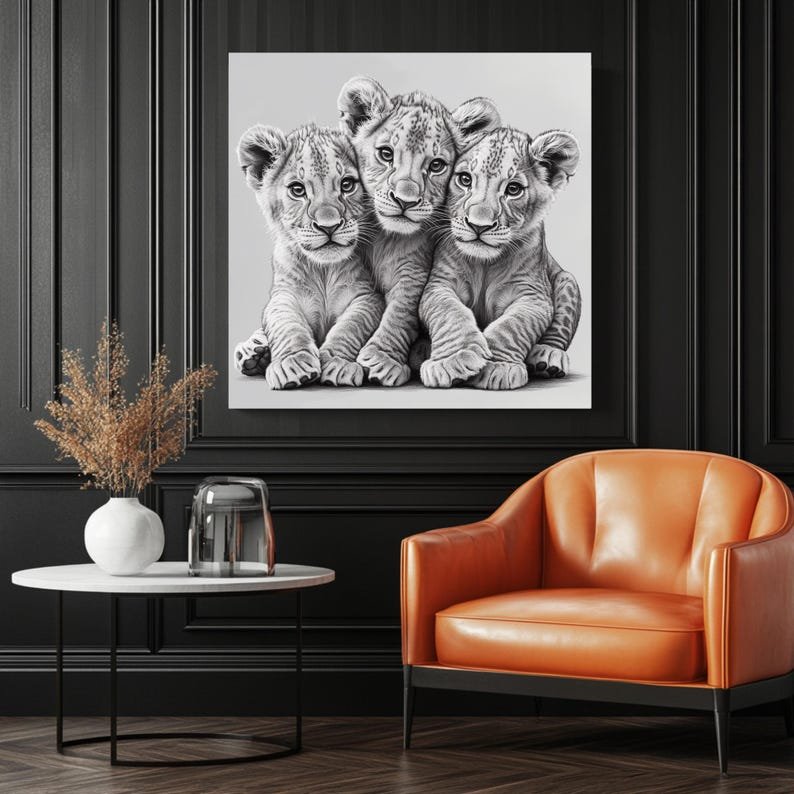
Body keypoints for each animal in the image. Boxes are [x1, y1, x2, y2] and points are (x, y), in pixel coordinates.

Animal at [233, 123, 384, 390]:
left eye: (347, 184)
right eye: (297, 189)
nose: (328, 226)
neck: (323, 269)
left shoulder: (368, 297)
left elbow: (351, 327)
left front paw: (337, 363)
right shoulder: (283, 296)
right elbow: (286, 325)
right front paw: (293, 365)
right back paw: (254, 352)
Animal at [337, 76, 500, 386]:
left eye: (436, 165)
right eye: (386, 154)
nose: (405, 201)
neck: (383, 236)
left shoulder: (413, 272)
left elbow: (400, 313)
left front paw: (382, 358)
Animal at [419, 126, 582, 390]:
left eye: (513, 190)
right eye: (464, 179)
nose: (478, 225)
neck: (485, 264)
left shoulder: (533, 296)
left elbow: (511, 327)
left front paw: (496, 368)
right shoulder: (439, 285)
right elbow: (451, 314)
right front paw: (454, 360)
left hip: (568, 280)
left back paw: (547, 358)